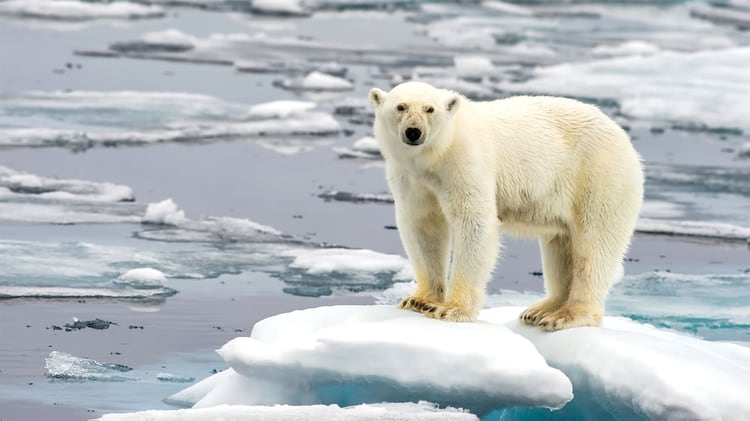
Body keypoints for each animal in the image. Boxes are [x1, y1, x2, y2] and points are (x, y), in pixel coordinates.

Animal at [370, 82, 648, 330]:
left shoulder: (465, 162)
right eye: (401, 106)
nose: (414, 132)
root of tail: (624, 138)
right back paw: (541, 310)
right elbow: (423, 226)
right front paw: (419, 300)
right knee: (561, 244)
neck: (436, 155)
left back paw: (566, 315)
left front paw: (450, 309)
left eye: (430, 109)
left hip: (599, 176)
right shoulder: (411, 178)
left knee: (594, 245)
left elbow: (474, 222)